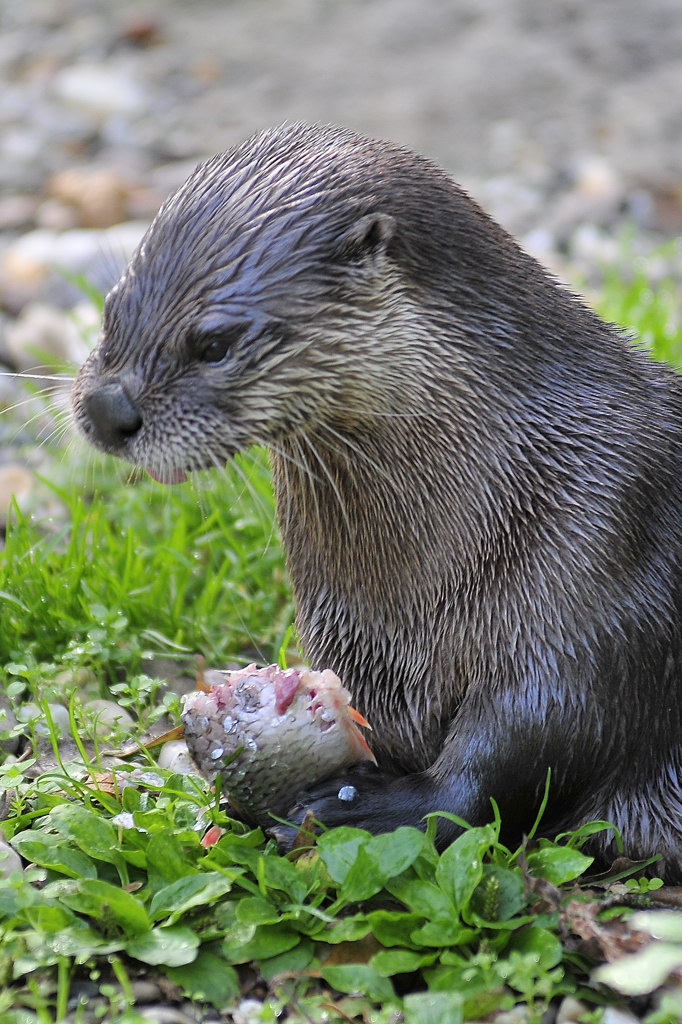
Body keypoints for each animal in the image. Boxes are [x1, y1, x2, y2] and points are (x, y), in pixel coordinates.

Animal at [70, 121, 682, 880]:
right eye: (110, 309)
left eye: (214, 342)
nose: (107, 408)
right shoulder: (354, 635)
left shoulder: (601, 548)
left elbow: (536, 737)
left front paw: (370, 809)